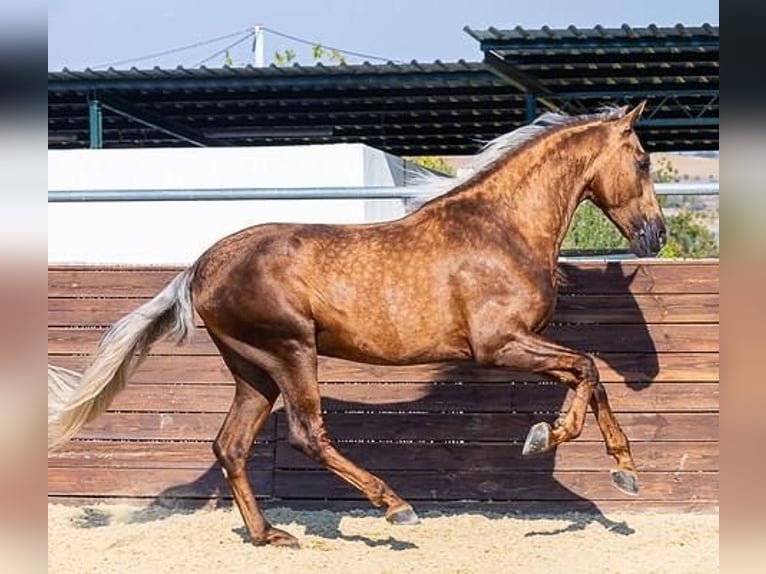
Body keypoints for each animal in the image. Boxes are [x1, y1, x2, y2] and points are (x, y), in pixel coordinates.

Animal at [48, 102, 664, 548]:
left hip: (254, 370)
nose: (656, 236)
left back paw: (270, 536)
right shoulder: (499, 345)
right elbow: (587, 367)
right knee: (307, 434)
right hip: (292, 351)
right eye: (642, 162)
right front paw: (548, 438)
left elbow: (588, 377)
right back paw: (397, 509)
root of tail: (202, 265)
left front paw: (623, 470)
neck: (502, 227)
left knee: (231, 446)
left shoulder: (517, 345)